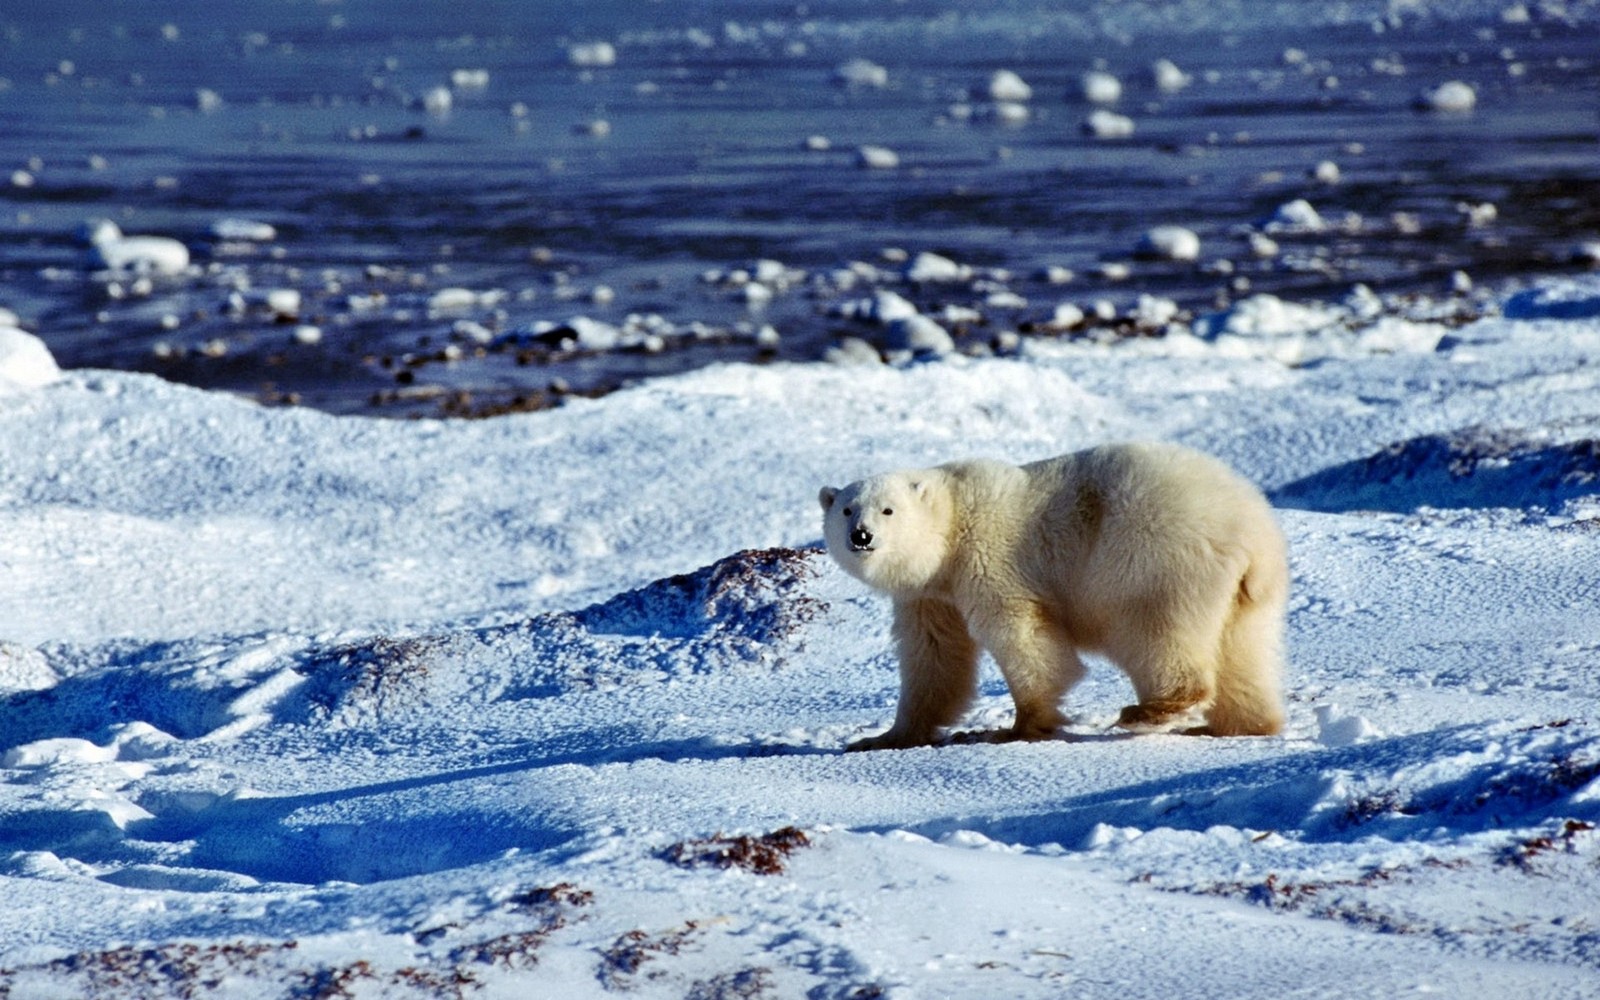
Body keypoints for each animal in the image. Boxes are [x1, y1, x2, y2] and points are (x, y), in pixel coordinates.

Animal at [825, 441, 1286, 745]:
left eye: (888, 509)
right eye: (846, 509)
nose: (861, 536)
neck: (953, 523)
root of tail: (1249, 531)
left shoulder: (990, 558)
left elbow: (1023, 636)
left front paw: (1019, 727)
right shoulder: (930, 595)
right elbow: (934, 656)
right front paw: (885, 737)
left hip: (1154, 559)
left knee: (1154, 631)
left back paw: (1148, 711)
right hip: (1248, 595)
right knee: (1243, 652)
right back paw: (1238, 725)